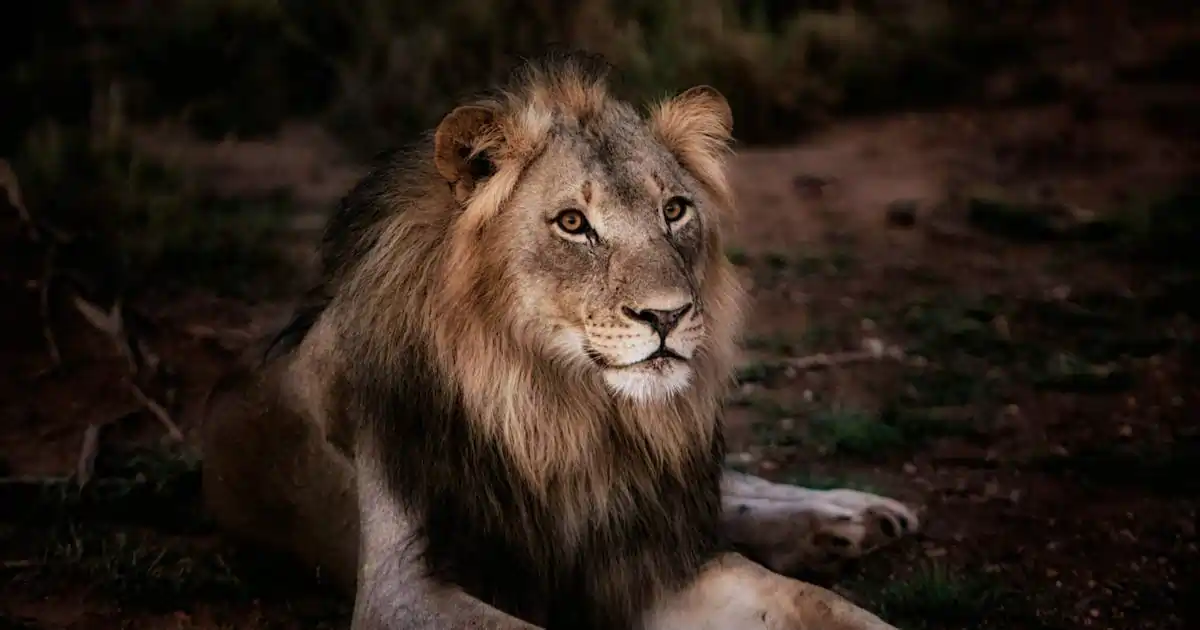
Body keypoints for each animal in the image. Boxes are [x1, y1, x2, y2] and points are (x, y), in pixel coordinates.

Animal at [200, 51, 920, 630]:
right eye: (573, 223)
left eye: (674, 210)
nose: (667, 315)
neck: (565, 416)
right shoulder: (401, 592)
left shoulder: (650, 557)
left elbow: (819, 603)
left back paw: (852, 516)